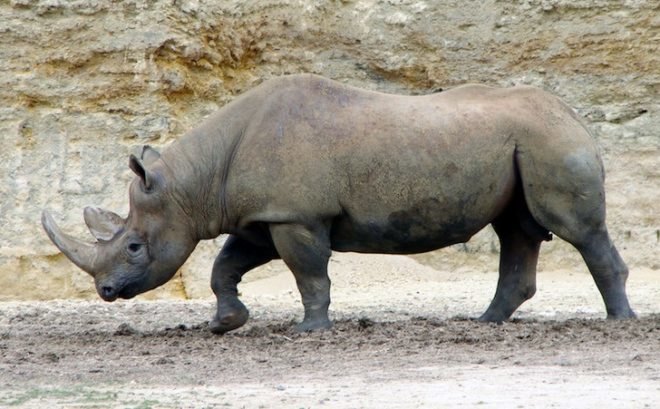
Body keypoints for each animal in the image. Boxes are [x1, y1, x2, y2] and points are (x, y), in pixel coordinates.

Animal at [42, 74, 635, 333]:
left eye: (134, 246)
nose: (106, 292)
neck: (194, 185)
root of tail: (575, 113)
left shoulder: (296, 215)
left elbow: (309, 274)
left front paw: (311, 330)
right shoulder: (264, 215)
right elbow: (225, 265)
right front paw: (226, 323)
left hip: (549, 139)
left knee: (577, 231)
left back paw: (620, 321)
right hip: (525, 140)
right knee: (516, 231)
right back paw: (484, 322)